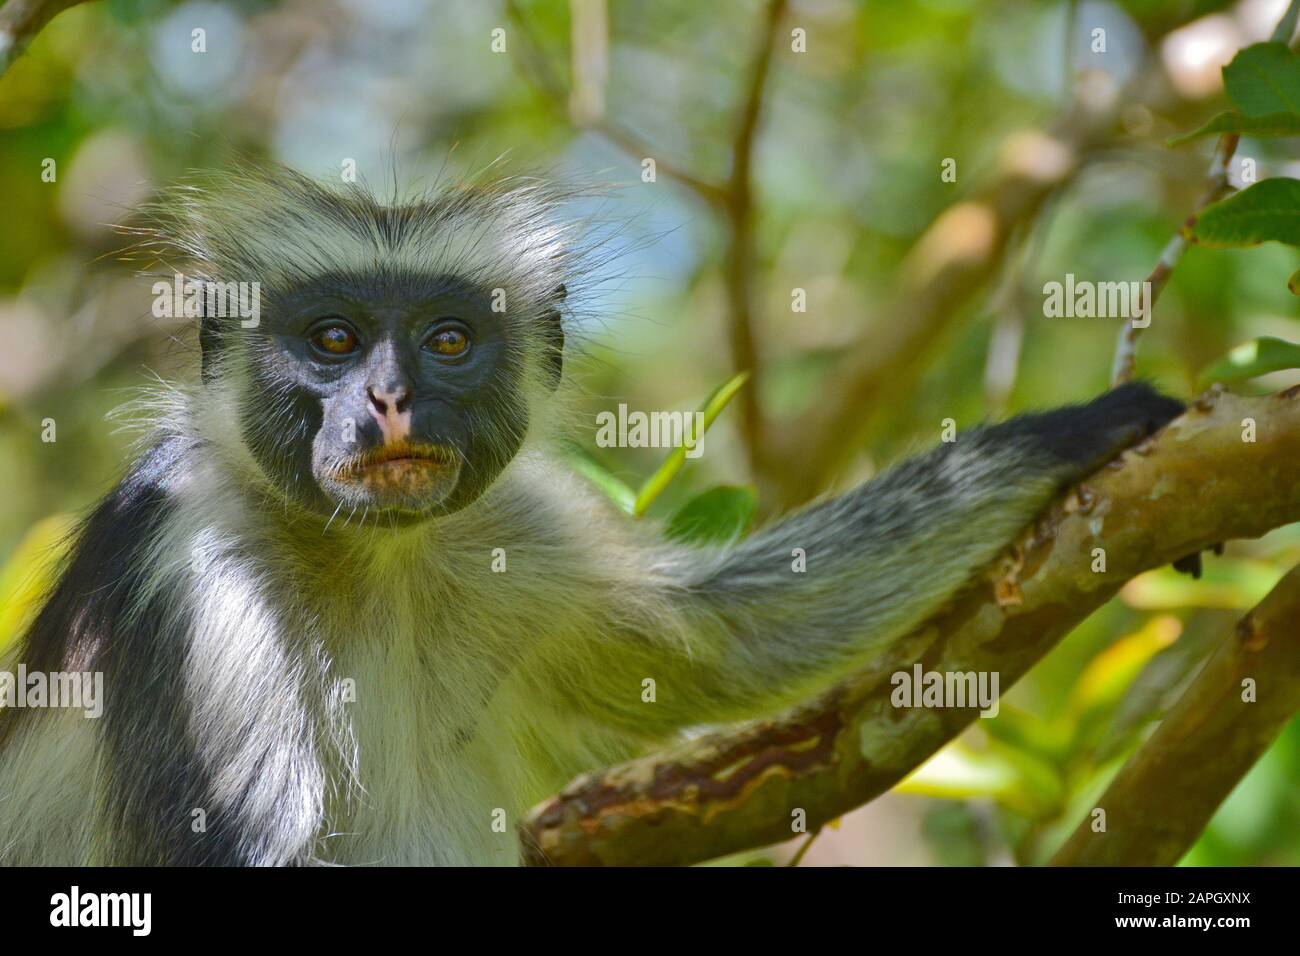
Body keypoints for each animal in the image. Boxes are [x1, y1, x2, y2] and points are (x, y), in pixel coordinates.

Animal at [0, 162, 1185, 868]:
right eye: (333, 340)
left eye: (446, 340)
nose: (388, 400)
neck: (380, 559)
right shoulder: (191, 552)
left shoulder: (519, 524)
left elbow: (719, 640)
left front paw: (1075, 435)